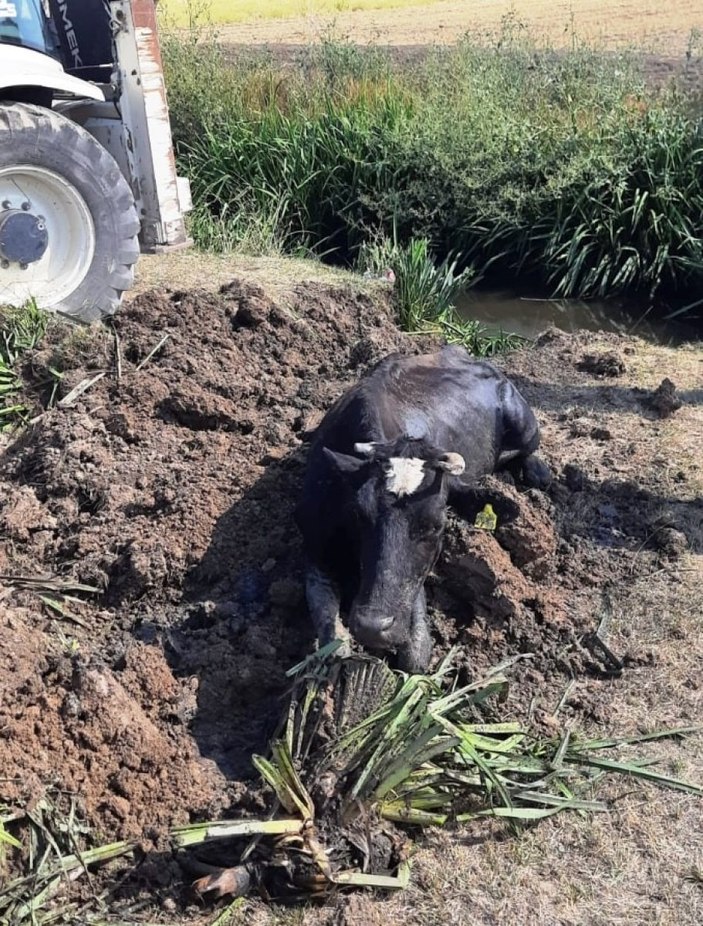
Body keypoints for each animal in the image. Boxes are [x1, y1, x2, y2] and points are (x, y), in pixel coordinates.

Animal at [294, 348, 552, 676]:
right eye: (358, 516)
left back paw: (538, 472)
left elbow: (416, 656)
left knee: (529, 450)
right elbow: (331, 634)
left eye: (435, 526)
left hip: (524, 422)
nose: (372, 627)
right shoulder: (314, 544)